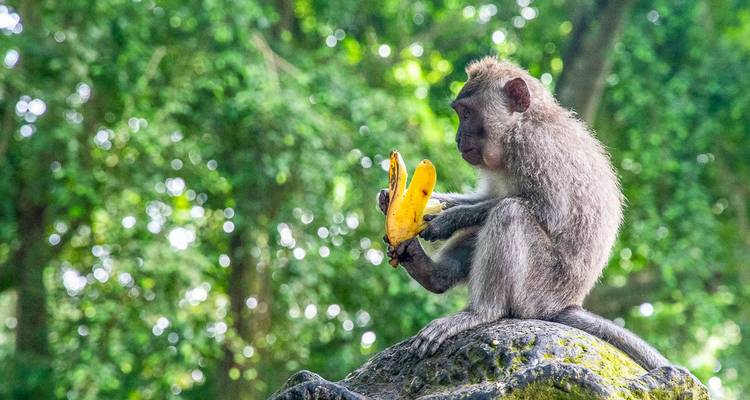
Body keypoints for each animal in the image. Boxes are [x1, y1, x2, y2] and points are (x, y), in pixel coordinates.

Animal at [377, 57, 670, 370]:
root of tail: (563, 304)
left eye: (467, 114)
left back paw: (481, 312)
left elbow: (547, 211)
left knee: (509, 213)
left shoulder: (537, 147)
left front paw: (447, 220)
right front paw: (392, 199)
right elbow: (485, 198)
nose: (457, 138)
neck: (520, 125)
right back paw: (432, 273)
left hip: (538, 289)